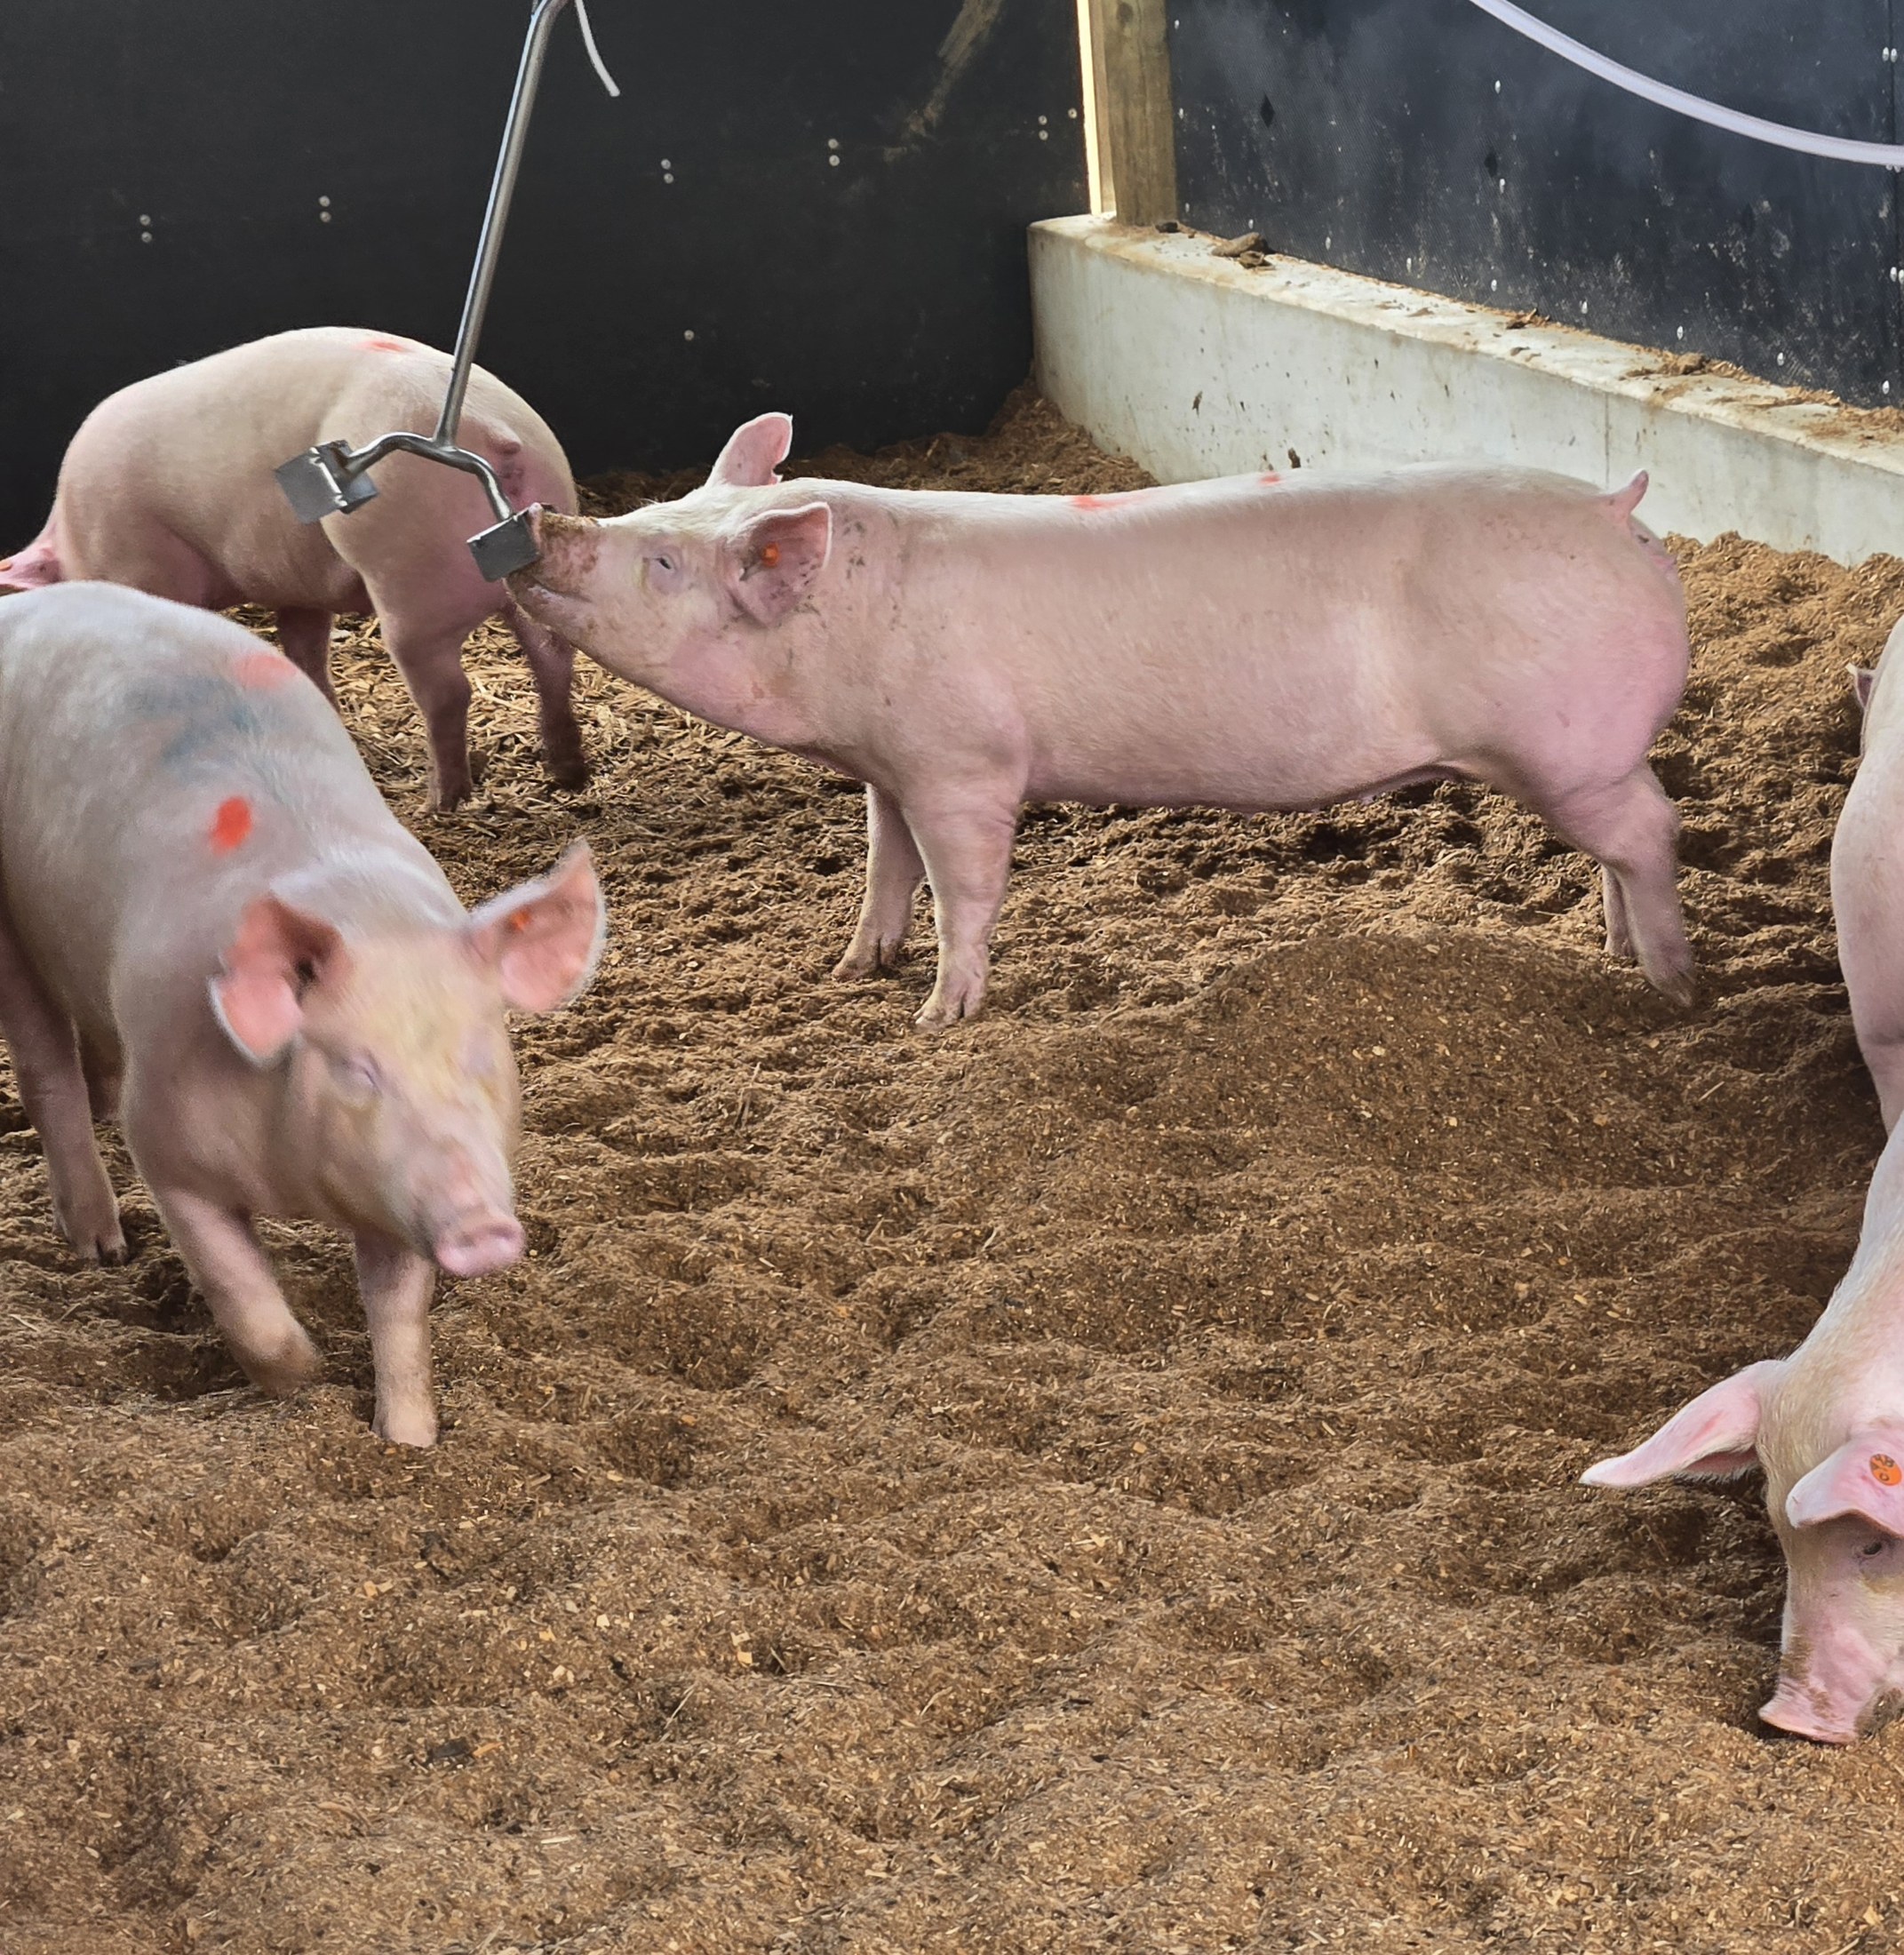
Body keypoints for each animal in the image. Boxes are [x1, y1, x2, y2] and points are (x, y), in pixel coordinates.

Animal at [0, 326, 585, 809]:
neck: (73, 535)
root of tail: (495, 434)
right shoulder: (301, 590)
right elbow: (305, 650)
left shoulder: (141, 560)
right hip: (528, 570)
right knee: (553, 658)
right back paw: (567, 772)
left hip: (412, 583)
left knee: (449, 691)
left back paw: (440, 799)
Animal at [0, 582, 604, 1446]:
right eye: (357, 1070)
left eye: (481, 1058)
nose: (484, 1230)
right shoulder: (171, 1152)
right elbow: (240, 1293)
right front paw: (305, 1382)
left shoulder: (395, 1194)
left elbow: (398, 1310)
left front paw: (410, 1441)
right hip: (11, 928)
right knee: (45, 1068)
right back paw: (101, 1248)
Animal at [510, 413, 1694, 1027]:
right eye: (653, 512)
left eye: (661, 561)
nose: (543, 523)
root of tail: (1618, 514)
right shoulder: (887, 765)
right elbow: (885, 865)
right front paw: (851, 971)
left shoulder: (963, 763)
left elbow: (963, 887)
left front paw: (938, 1017)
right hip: (1580, 758)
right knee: (1618, 850)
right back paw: (1612, 952)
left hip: (1567, 750)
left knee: (1653, 832)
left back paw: (1672, 985)